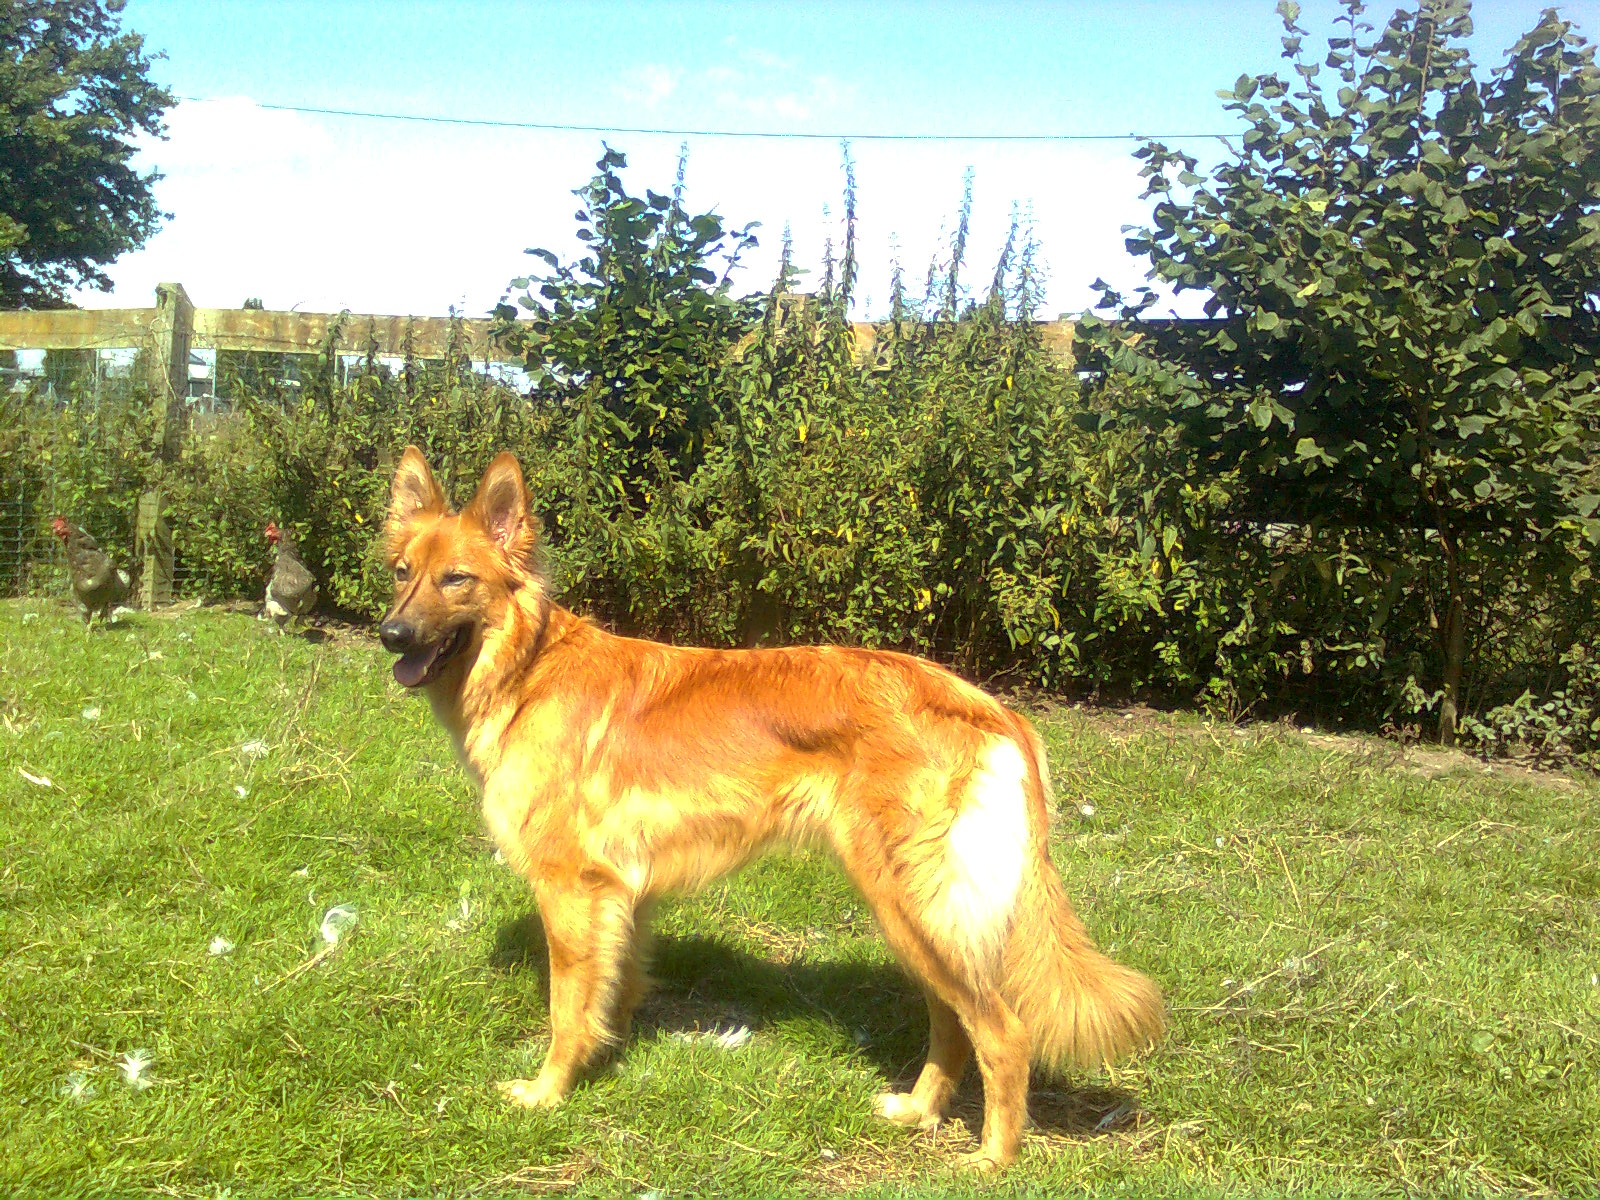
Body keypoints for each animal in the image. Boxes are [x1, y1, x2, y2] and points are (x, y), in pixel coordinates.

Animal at [378, 446, 1165, 1170]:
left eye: (457, 580)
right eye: (401, 573)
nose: (390, 635)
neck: (527, 668)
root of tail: (985, 704)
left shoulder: (570, 889)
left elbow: (567, 1007)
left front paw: (548, 1092)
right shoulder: (625, 893)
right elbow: (618, 983)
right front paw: (613, 1051)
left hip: (908, 901)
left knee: (1000, 1030)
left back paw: (992, 1158)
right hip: (923, 913)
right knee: (952, 1018)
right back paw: (918, 1111)